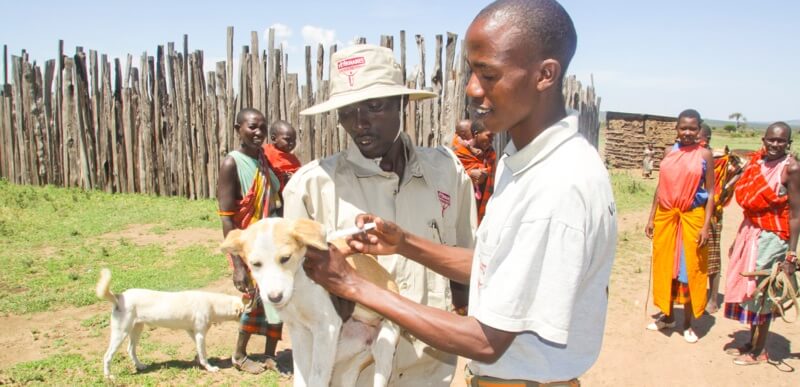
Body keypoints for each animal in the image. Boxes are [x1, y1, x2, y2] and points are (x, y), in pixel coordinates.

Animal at [94, 268, 244, 380]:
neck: (213, 304)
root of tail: (119, 297)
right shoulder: (200, 334)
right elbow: (204, 354)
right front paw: (210, 368)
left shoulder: (192, 332)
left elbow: (199, 351)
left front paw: (198, 361)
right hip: (121, 333)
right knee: (107, 356)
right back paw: (109, 376)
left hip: (136, 329)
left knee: (130, 350)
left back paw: (140, 366)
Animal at [220, 218, 400, 387]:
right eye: (255, 264)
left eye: (285, 258)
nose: (275, 297)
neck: (298, 285)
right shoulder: (299, 331)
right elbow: (302, 378)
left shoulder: (326, 328)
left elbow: (316, 377)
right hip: (343, 358)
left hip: (383, 348)